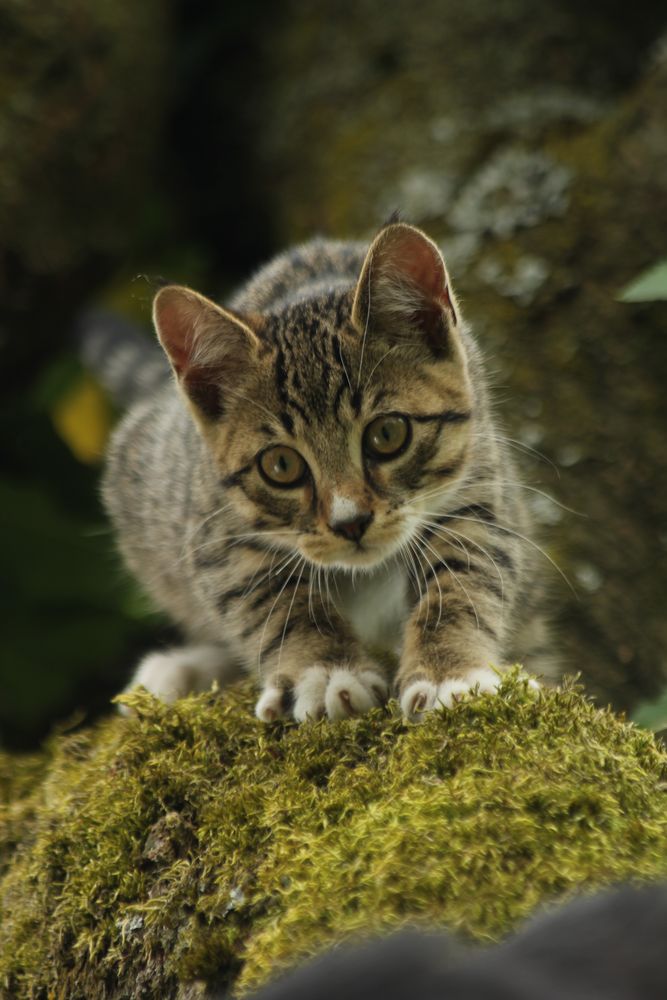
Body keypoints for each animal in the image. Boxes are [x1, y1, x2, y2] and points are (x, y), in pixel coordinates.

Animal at [94, 221, 552, 720]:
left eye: (388, 433)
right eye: (281, 465)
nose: (350, 522)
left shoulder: (479, 481)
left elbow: (465, 575)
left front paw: (451, 672)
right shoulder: (217, 529)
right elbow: (272, 602)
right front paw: (323, 673)